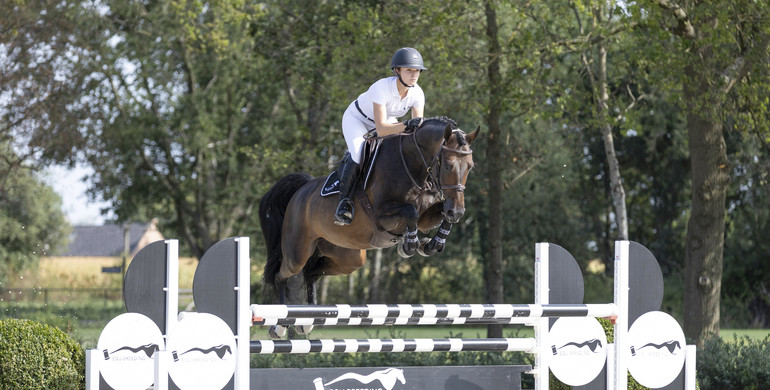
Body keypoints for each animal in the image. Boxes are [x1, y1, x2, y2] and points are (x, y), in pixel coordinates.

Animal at [258, 116, 476, 338]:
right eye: (448, 165)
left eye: (470, 167)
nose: (457, 210)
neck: (413, 166)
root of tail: (301, 190)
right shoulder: (382, 217)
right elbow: (410, 212)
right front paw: (409, 246)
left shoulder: (427, 217)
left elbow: (439, 216)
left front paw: (430, 245)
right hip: (297, 252)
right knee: (281, 276)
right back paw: (279, 326)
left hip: (349, 256)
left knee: (311, 273)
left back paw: (307, 322)